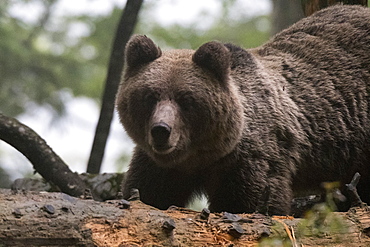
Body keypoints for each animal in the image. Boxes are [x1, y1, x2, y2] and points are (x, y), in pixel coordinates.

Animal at [115, 4, 370, 215]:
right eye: (149, 97)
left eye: (186, 100)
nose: (161, 130)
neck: (202, 155)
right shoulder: (160, 165)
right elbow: (147, 192)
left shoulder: (250, 159)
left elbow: (248, 203)